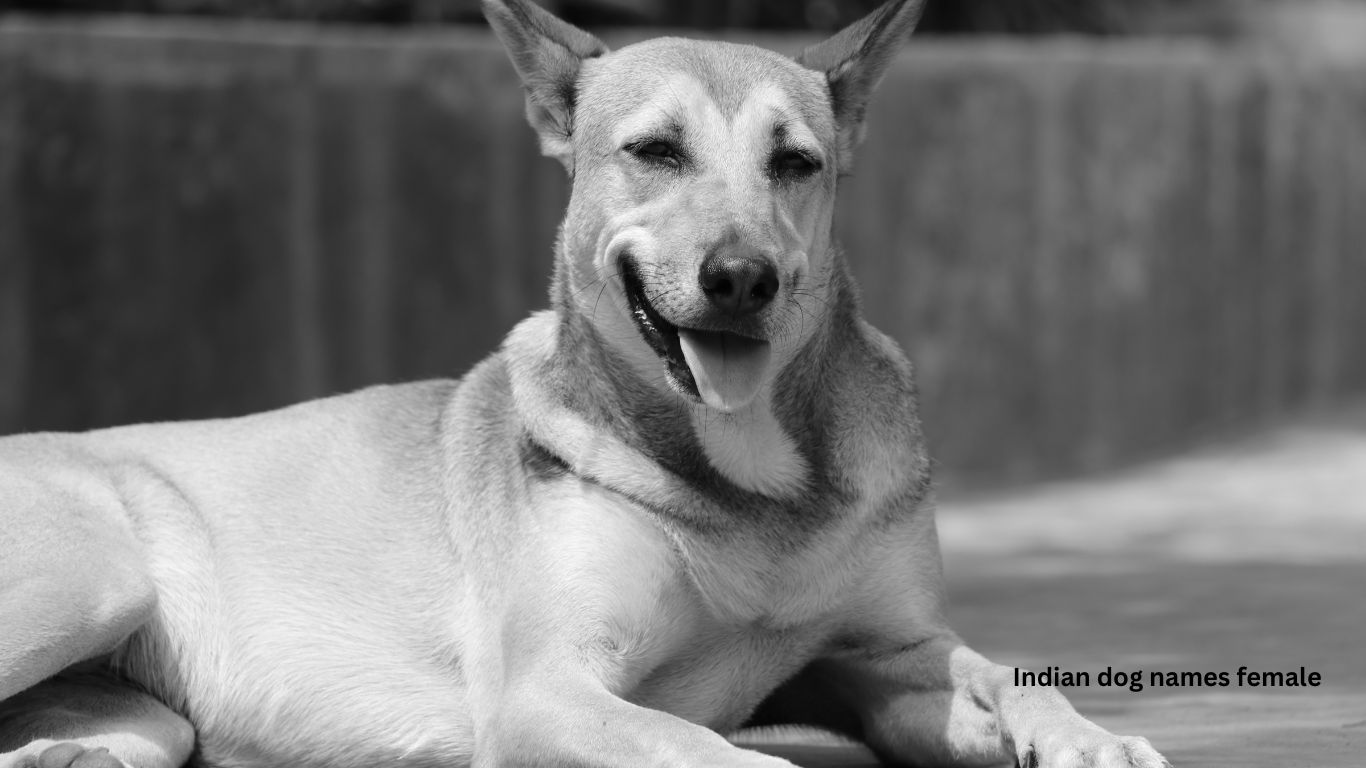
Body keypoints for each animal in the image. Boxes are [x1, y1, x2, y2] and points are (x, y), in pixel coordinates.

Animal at [0, 1, 1174, 765]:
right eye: (655, 151)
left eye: (795, 163)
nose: (741, 277)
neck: (750, 479)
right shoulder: (547, 691)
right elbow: (727, 758)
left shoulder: (890, 658)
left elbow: (1010, 676)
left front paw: (1090, 739)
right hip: (93, 581)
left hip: (146, 721)